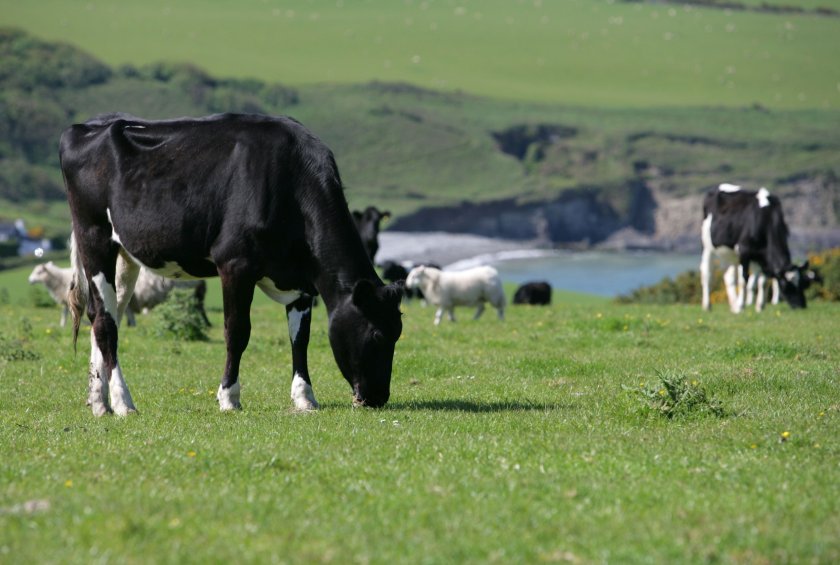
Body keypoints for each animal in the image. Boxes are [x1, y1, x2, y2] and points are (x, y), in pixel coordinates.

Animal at [61, 112, 403, 417]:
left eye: (398, 332)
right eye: (376, 335)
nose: (378, 397)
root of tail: (86, 126)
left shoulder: (301, 280)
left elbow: (300, 338)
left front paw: (305, 397)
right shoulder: (235, 263)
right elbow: (237, 331)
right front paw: (229, 397)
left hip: (124, 256)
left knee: (105, 315)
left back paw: (99, 402)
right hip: (94, 237)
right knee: (105, 323)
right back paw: (123, 403)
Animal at [700, 183, 810, 313]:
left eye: (802, 282)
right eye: (787, 285)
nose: (802, 306)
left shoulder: (761, 257)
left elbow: (762, 282)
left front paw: (760, 306)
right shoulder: (744, 251)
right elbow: (744, 280)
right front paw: (741, 306)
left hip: (730, 254)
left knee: (729, 277)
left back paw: (733, 305)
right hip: (708, 246)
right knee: (707, 273)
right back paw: (707, 305)